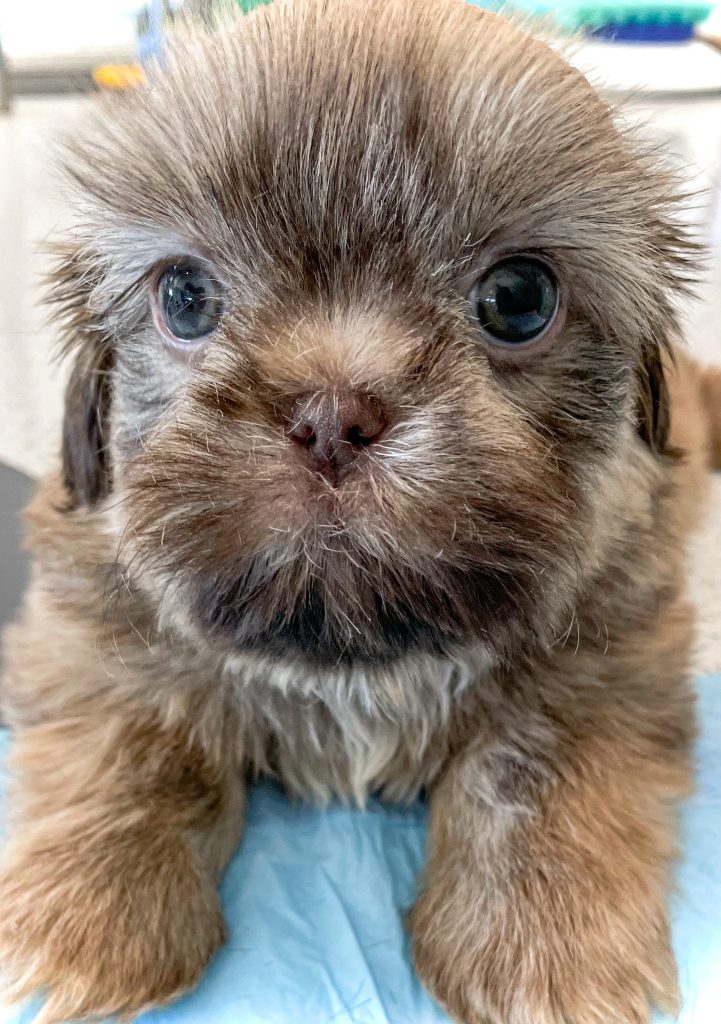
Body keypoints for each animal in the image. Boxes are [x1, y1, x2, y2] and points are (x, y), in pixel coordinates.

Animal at [1, 2, 721, 1024]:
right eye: (185, 296)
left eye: (518, 298)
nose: (332, 416)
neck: (350, 646)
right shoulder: (86, 619)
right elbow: (139, 733)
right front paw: (92, 912)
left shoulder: (614, 644)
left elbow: (532, 758)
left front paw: (544, 940)